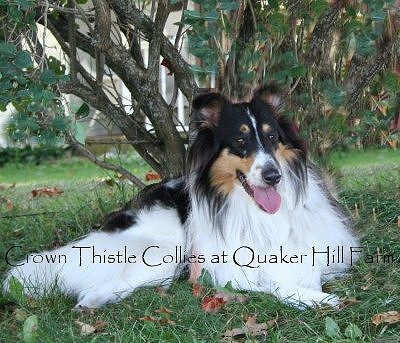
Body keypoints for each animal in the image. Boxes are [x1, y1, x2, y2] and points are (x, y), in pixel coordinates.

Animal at [3, 88, 360, 310]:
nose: (274, 176)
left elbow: (309, 268)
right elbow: (273, 282)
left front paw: (313, 291)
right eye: (240, 141)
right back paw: (91, 301)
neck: (254, 209)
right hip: (162, 252)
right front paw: (316, 299)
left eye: (272, 137)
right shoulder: (230, 269)